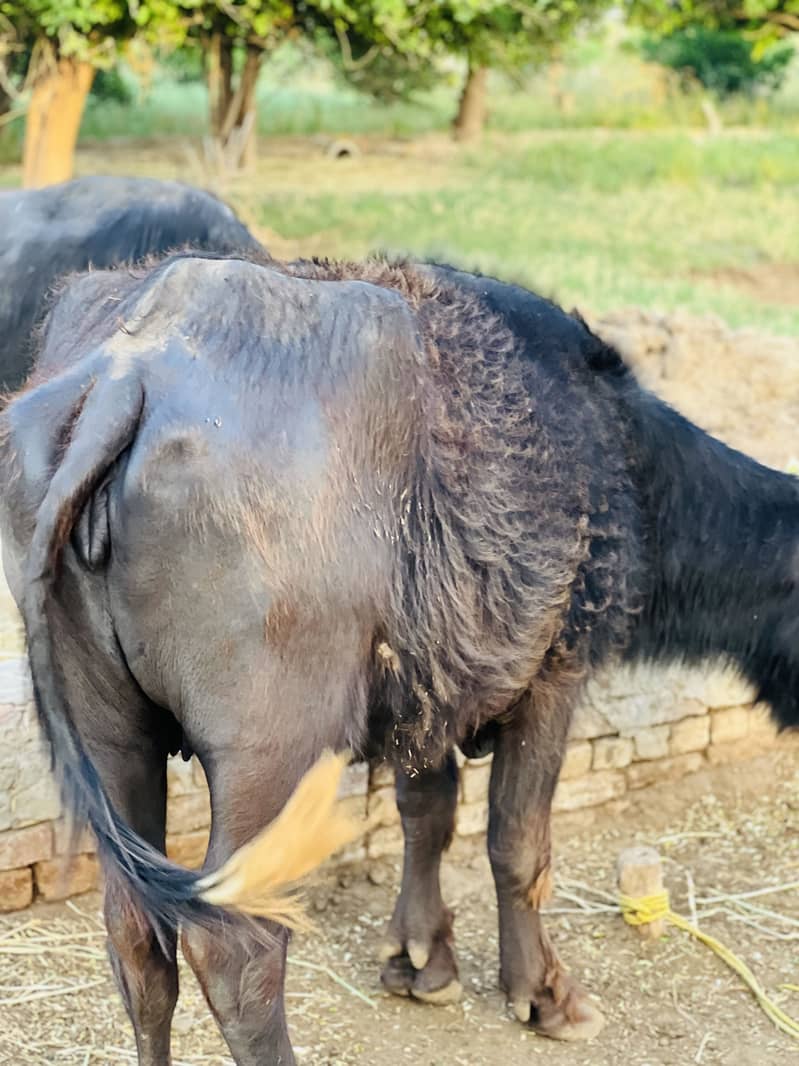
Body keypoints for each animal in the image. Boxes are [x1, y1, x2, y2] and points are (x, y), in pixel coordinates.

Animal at [0, 248, 796, 1065]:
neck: (619, 456)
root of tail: (129, 372)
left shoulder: (426, 694)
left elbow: (427, 815)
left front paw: (420, 960)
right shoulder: (555, 674)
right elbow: (517, 842)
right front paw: (542, 993)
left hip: (111, 736)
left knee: (135, 937)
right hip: (269, 752)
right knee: (236, 945)